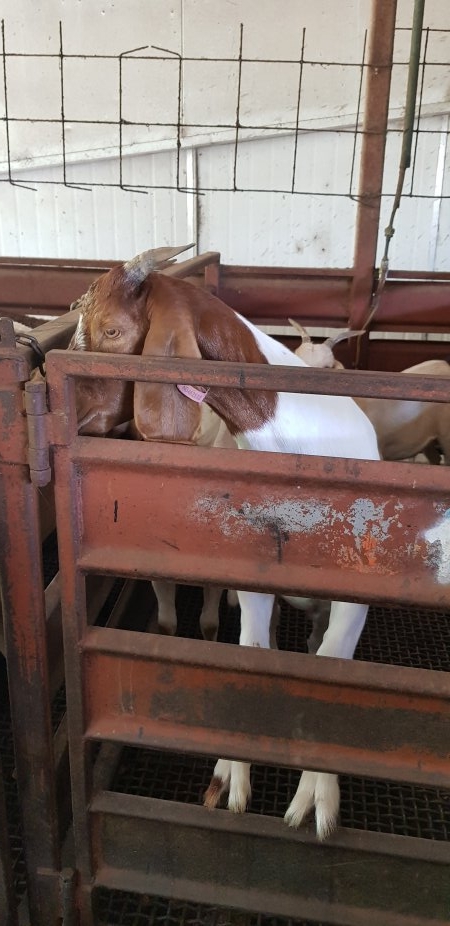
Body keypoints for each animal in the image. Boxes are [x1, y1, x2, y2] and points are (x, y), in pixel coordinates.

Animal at [72, 250, 382, 844]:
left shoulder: (358, 590)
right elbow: (247, 655)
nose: (70, 411)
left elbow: (334, 669)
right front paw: (233, 780)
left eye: (112, 330)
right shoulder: (254, 579)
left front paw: (315, 803)